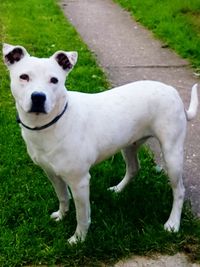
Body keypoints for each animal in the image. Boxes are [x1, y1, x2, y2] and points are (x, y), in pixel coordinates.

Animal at [3, 43, 198, 245]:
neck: (50, 124)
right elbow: (63, 197)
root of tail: (172, 90)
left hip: (172, 154)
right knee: (133, 168)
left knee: (179, 190)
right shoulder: (52, 174)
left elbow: (82, 216)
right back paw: (118, 189)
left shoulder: (80, 182)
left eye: (54, 80)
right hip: (129, 145)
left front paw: (78, 239)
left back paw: (173, 224)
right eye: (24, 77)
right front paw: (62, 215)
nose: (38, 97)